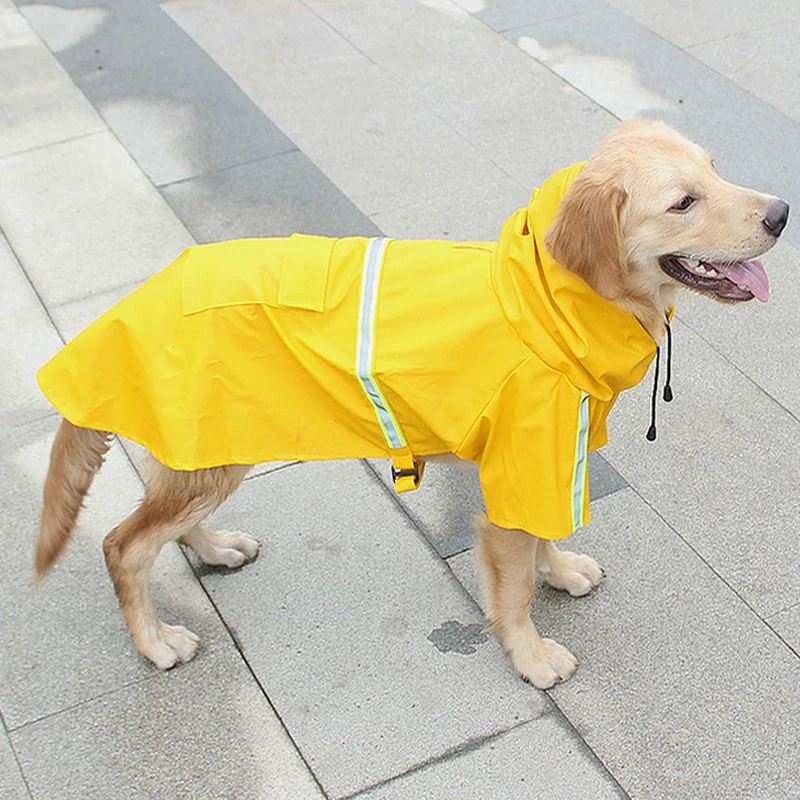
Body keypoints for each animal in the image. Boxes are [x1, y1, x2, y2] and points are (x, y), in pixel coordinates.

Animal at [32, 120, 788, 688]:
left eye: (717, 169)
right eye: (683, 202)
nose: (782, 213)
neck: (545, 303)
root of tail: (128, 306)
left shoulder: (541, 462)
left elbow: (541, 537)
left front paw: (561, 570)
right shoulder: (523, 461)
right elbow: (512, 584)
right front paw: (531, 655)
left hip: (210, 445)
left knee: (163, 522)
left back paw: (215, 548)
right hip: (208, 456)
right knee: (124, 545)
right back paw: (155, 641)